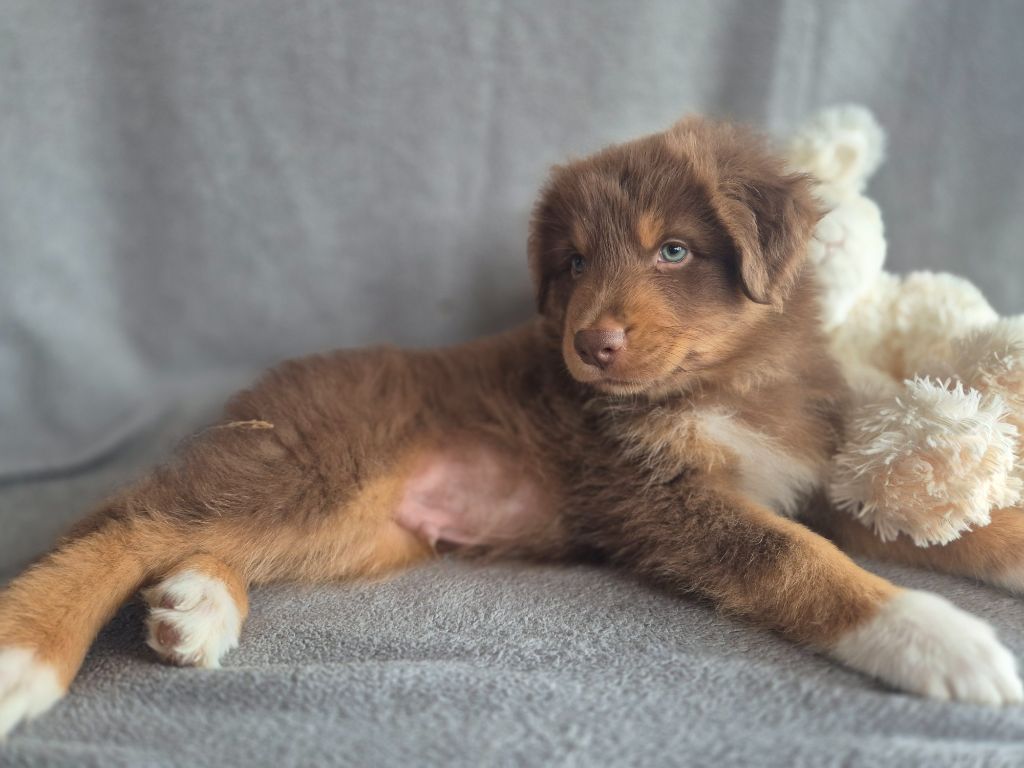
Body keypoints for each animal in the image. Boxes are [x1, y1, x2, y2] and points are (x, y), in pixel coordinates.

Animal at [2, 114, 1022, 738]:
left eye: (674, 250)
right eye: (571, 263)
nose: (591, 344)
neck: (727, 383)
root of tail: (266, 389)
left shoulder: (812, 473)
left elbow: (935, 530)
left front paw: (1000, 559)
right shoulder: (661, 496)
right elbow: (797, 558)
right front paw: (937, 637)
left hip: (357, 525)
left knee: (204, 535)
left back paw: (195, 605)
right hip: (320, 465)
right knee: (129, 524)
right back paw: (26, 652)